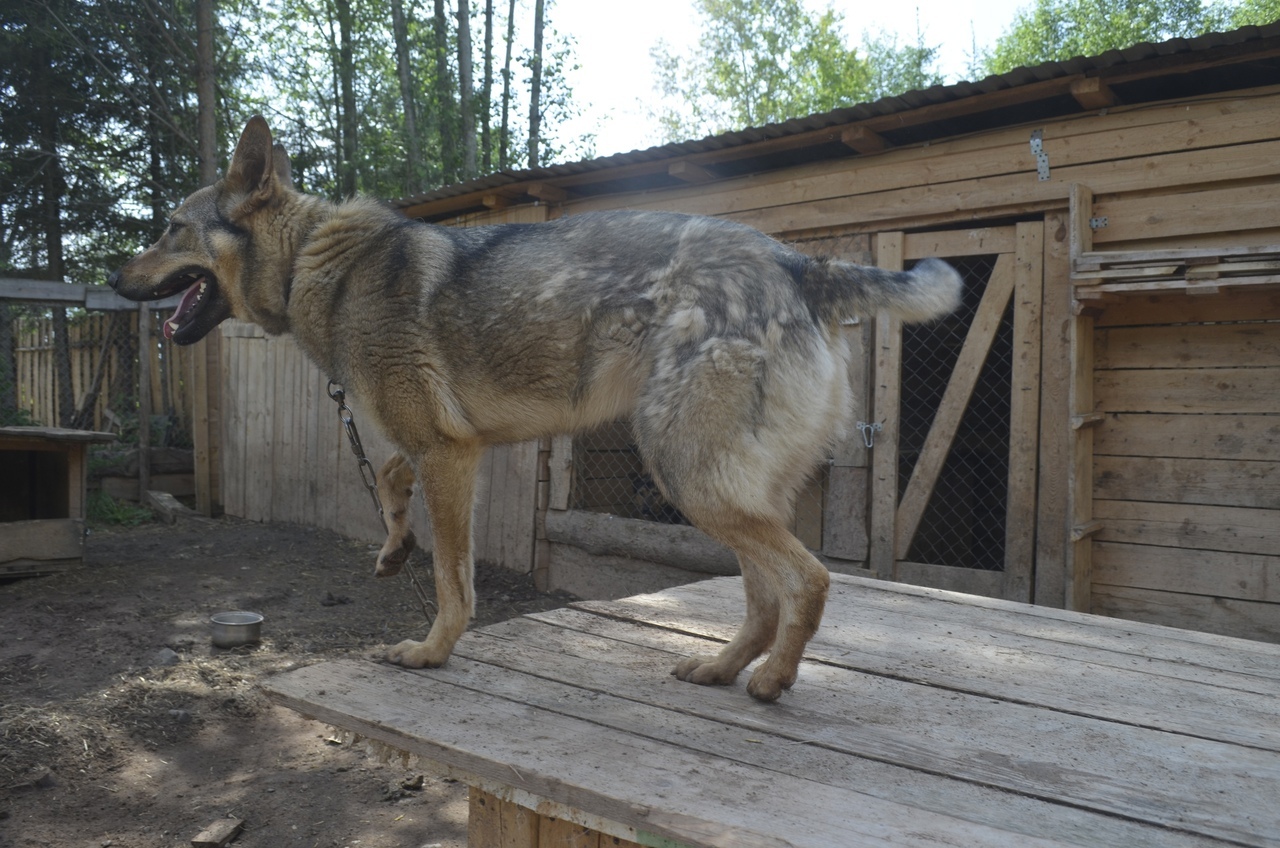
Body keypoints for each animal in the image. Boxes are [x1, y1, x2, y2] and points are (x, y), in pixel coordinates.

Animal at [110, 117, 957, 701]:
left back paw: (774, 680)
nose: (113, 279)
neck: (318, 265)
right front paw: (392, 548)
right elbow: (387, 477)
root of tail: (797, 263)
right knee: (763, 599)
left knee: (808, 581)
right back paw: (720, 668)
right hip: (725, 489)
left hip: (691, 478)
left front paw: (431, 652)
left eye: (170, 229)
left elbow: (454, 579)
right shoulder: (440, 446)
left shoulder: (451, 455)